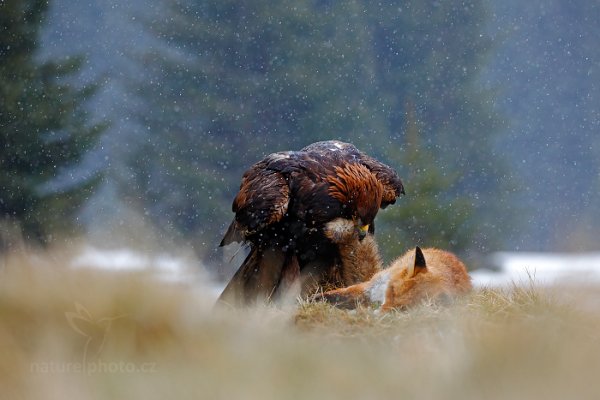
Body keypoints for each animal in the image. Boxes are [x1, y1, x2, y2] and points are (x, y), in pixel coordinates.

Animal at [318, 219, 474, 312]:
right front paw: (318, 299)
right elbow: (339, 294)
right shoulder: (371, 287)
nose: (377, 314)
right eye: (392, 291)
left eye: (402, 308)